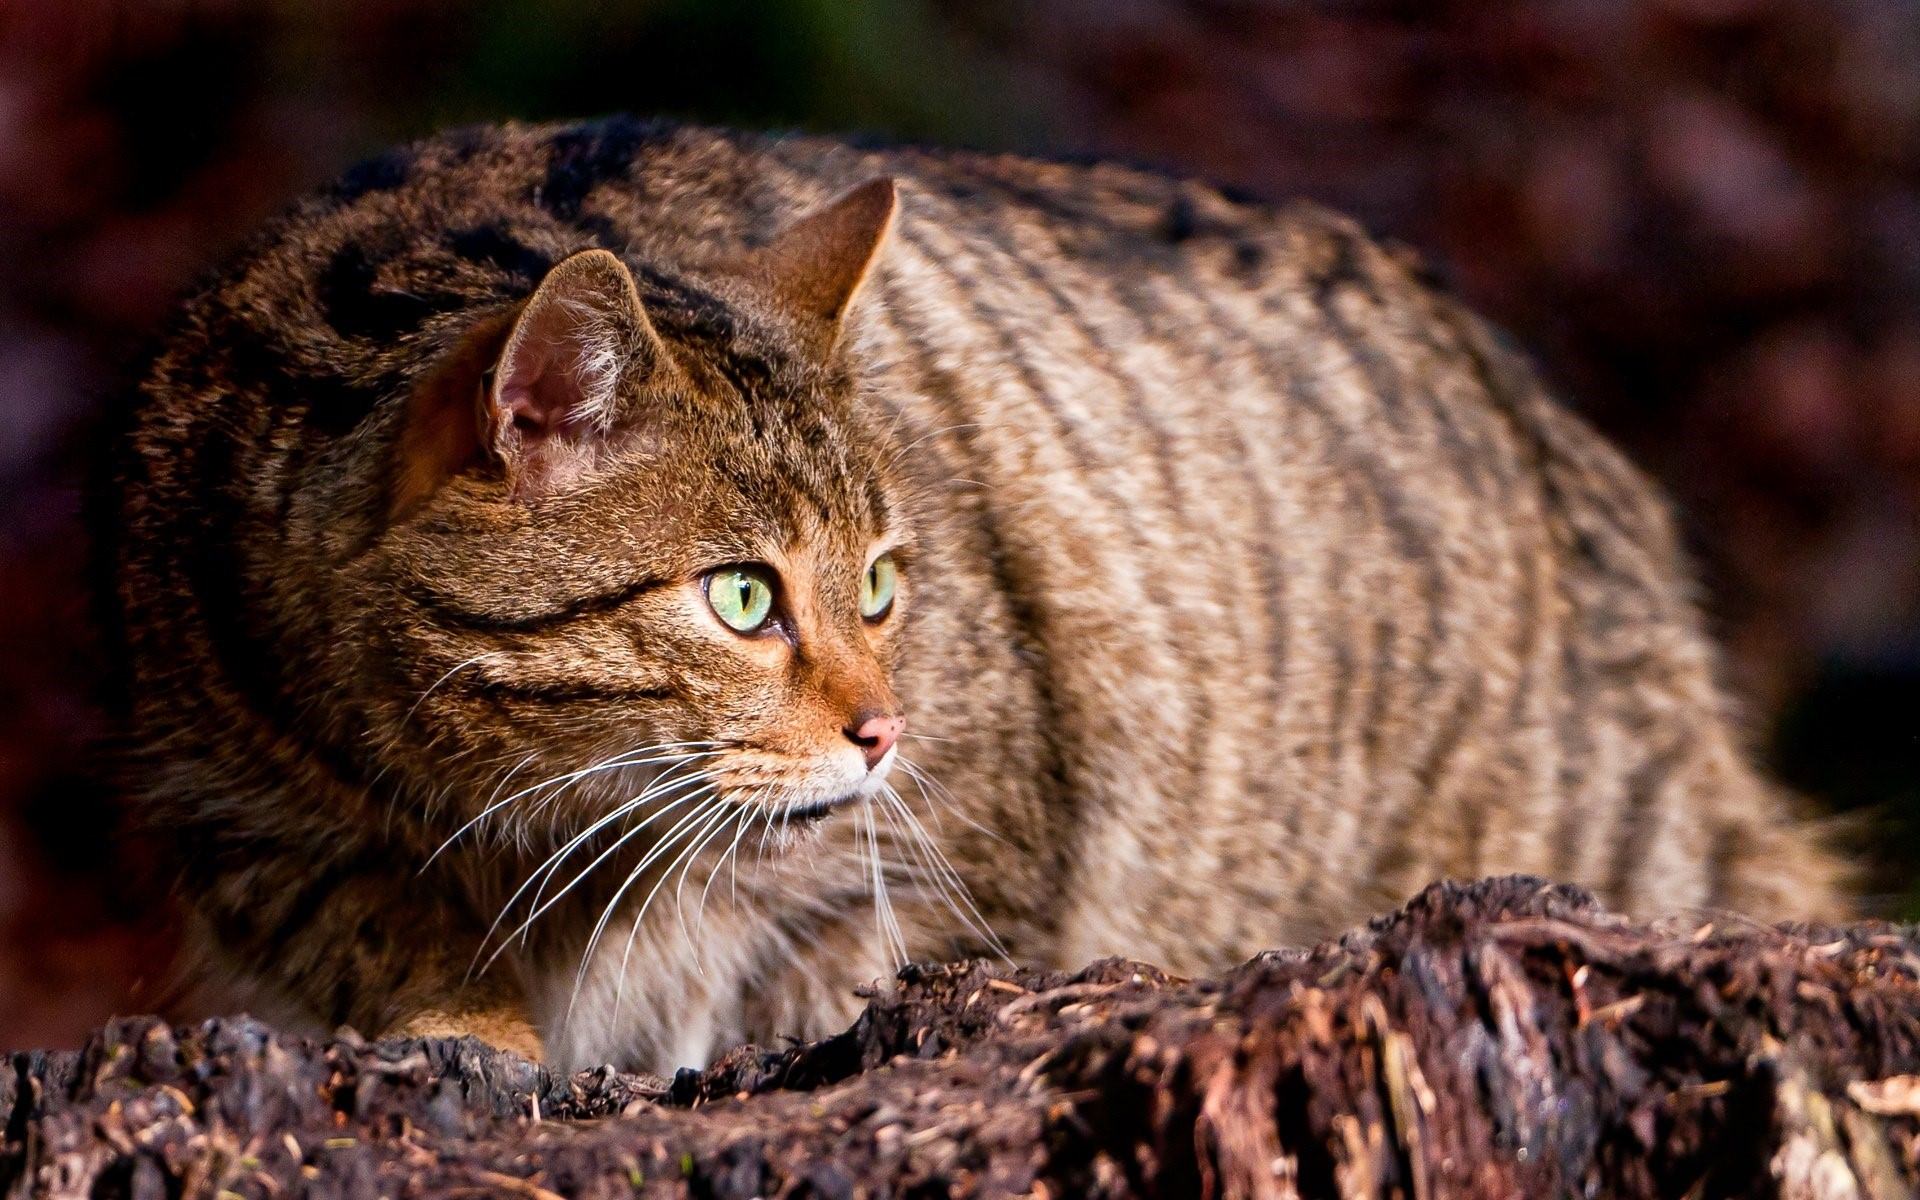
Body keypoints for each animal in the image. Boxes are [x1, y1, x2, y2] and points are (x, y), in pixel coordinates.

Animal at [105, 117, 1843, 1075]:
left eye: (881, 581)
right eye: (744, 598)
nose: (885, 728)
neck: (519, 815)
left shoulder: (949, 862)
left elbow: (818, 971)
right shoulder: (241, 824)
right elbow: (374, 932)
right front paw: (472, 1028)